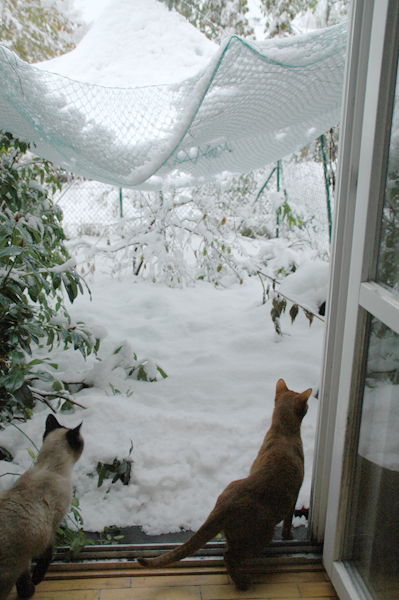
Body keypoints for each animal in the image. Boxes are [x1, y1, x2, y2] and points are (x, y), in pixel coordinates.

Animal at [0, 414, 83, 600]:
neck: (49, 467)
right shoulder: (53, 525)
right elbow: (47, 556)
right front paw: (36, 581)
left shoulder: (24, 558)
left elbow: (23, 577)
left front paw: (27, 592)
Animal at [138, 380, 312, 592]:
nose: (309, 407)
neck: (283, 433)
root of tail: (224, 505)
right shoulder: (295, 494)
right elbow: (288, 520)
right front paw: (288, 535)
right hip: (262, 535)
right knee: (228, 556)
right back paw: (242, 583)